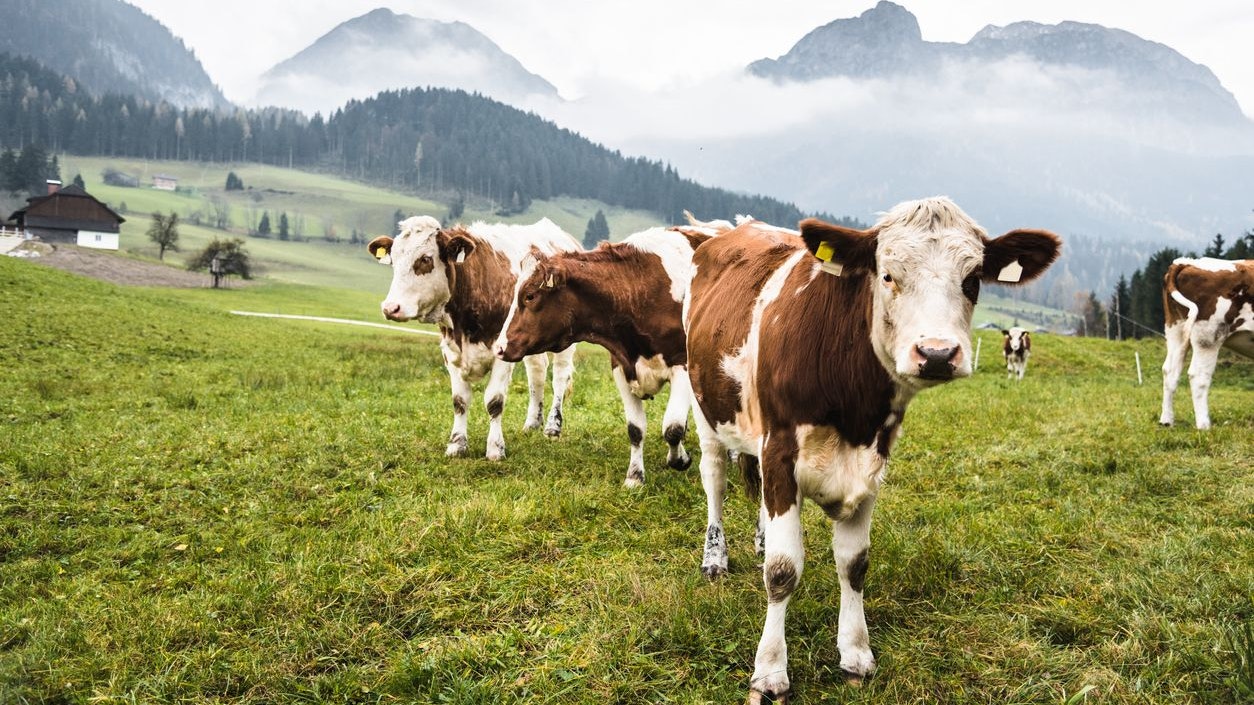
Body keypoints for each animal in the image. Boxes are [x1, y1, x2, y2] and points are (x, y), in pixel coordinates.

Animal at [367, 216, 582, 460]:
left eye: (425, 259)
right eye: (394, 260)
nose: (390, 308)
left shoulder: (501, 351)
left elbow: (494, 401)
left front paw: (495, 448)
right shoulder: (450, 351)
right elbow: (459, 401)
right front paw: (456, 444)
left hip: (564, 342)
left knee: (560, 376)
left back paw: (553, 427)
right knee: (536, 372)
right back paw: (532, 423)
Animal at [493, 220, 729, 486]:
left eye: (530, 296)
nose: (500, 347)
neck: (639, 290)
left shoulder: (682, 366)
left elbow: (673, 427)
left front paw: (680, 459)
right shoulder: (621, 366)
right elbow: (635, 429)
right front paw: (634, 477)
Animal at [683, 197, 1060, 702]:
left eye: (973, 279)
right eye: (887, 275)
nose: (936, 354)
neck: (850, 405)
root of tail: (733, 229)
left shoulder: (871, 460)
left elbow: (854, 563)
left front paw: (856, 653)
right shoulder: (780, 449)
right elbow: (783, 570)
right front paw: (770, 671)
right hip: (706, 406)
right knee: (715, 480)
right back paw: (715, 558)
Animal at [1159, 256, 1254, 430]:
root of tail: (1186, 263)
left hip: (1175, 329)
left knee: (1170, 371)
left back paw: (1167, 420)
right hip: (1208, 336)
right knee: (1198, 375)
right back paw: (1204, 425)